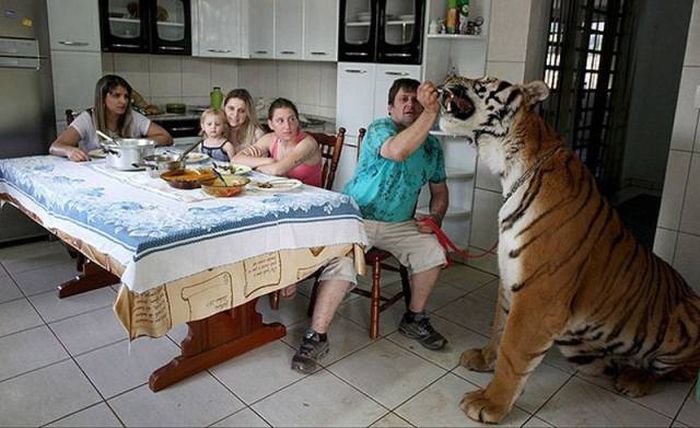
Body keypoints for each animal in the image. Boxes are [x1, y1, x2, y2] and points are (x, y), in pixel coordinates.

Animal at [438, 75, 700, 424]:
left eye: (485, 81)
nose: (448, 76)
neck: (510, 166)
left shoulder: (539, 296)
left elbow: (513, 351)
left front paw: (489, 403)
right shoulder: (510, 278)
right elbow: (499, 327)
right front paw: (483, 358)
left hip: (686, 318)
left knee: (677, 370)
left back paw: (635, 380)